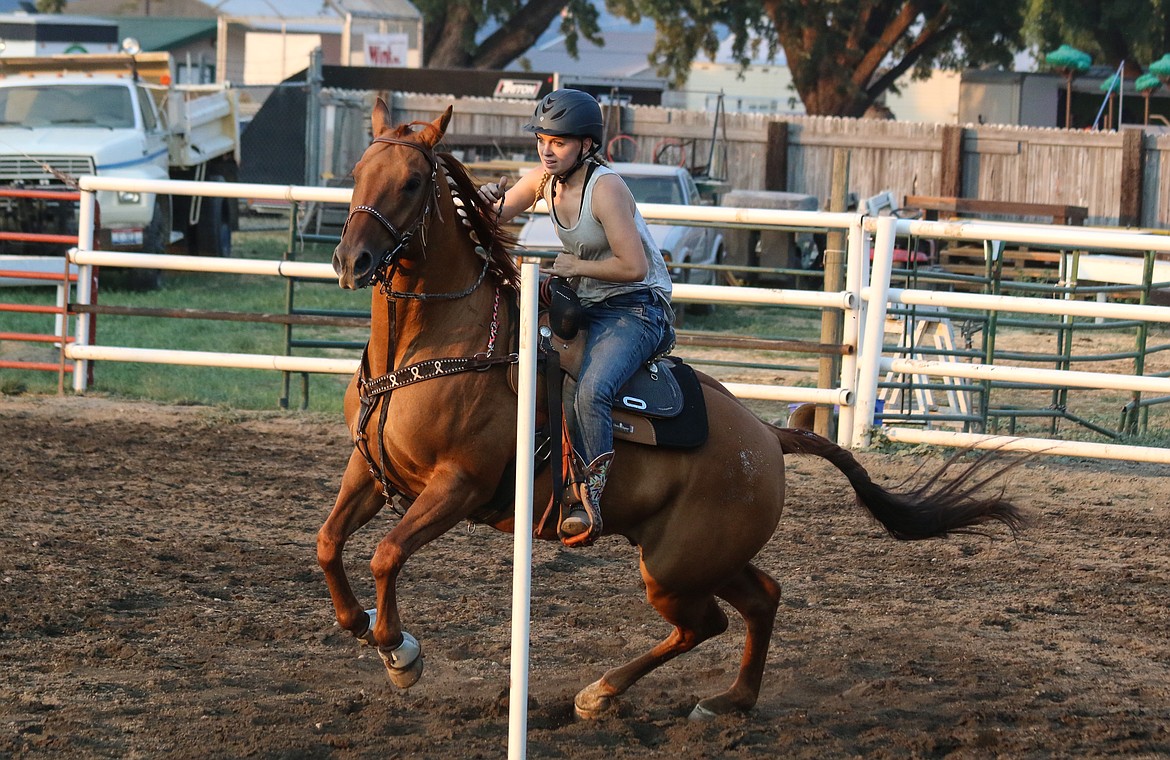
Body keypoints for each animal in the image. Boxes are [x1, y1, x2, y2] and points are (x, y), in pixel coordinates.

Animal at [318, 99, 1024, 715]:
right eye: (357, 174)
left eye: (412, 181)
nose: (350, 259)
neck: (435, 346)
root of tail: (766, 436)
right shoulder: (370, 472)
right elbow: (329, 543)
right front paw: (363, 624)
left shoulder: (458, 486)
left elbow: (385, 554)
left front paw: (400, 652)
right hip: (703, 558)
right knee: (760, 599)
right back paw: (728, 700)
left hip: (674, 565)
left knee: (705, 622)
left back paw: (602, 693)